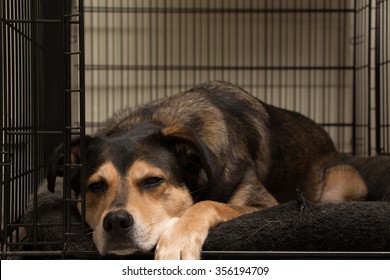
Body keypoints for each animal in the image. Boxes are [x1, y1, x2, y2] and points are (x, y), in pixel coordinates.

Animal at [47, 80, 368, 260]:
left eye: (153, 180)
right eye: (96, 186)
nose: (115, 223)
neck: (158, 120)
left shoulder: (264, 206)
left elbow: (208, 204)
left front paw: (177, 241)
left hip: (344, 180)